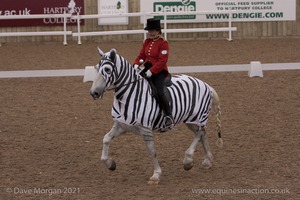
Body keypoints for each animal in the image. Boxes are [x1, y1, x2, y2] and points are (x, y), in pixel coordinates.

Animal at [89, 48, 223, 184]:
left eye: (107, 69)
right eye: (96, 68)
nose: (94, 93)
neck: (130, 95)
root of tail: (206, 85)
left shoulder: (146, 130)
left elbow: (152, 152)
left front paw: (156, 175)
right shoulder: (122, 126)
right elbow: (106, 139)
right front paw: (110, 164)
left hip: (197, 117)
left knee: (200, 133)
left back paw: (188, 161)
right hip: (191, 121)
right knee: (201, 134)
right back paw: (207, 161)